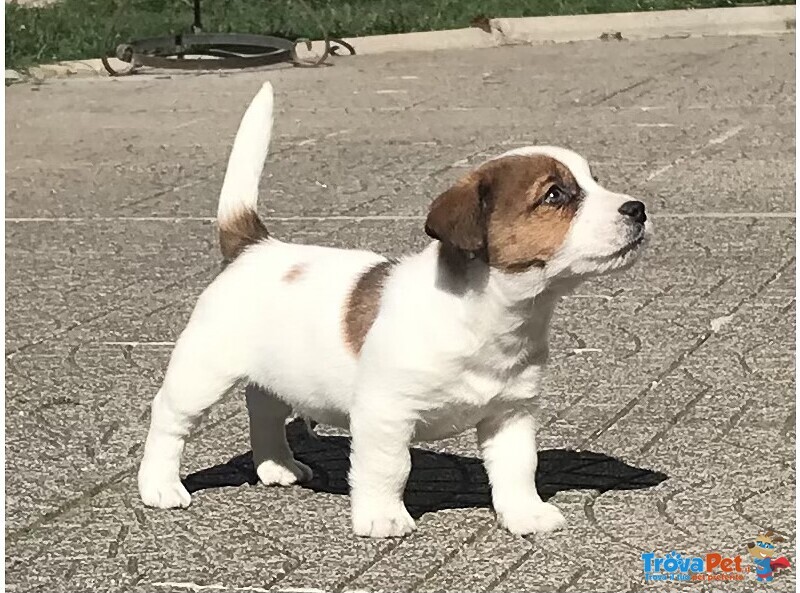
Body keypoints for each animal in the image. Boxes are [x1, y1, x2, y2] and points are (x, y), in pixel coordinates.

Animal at [138, 81, 648, 540]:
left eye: (593, 181)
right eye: (555, 195)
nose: (638, 209)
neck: (486, 318)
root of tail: (253, 246)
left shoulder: (512, 414)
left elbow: (518, 468)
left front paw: (525, 514)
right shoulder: (385, 414)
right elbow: (389, 468)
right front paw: (383, 517)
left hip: (275, 372)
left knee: (263, 407)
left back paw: (277, 465)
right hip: (202, 373)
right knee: (168, 421)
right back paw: (160, 486)